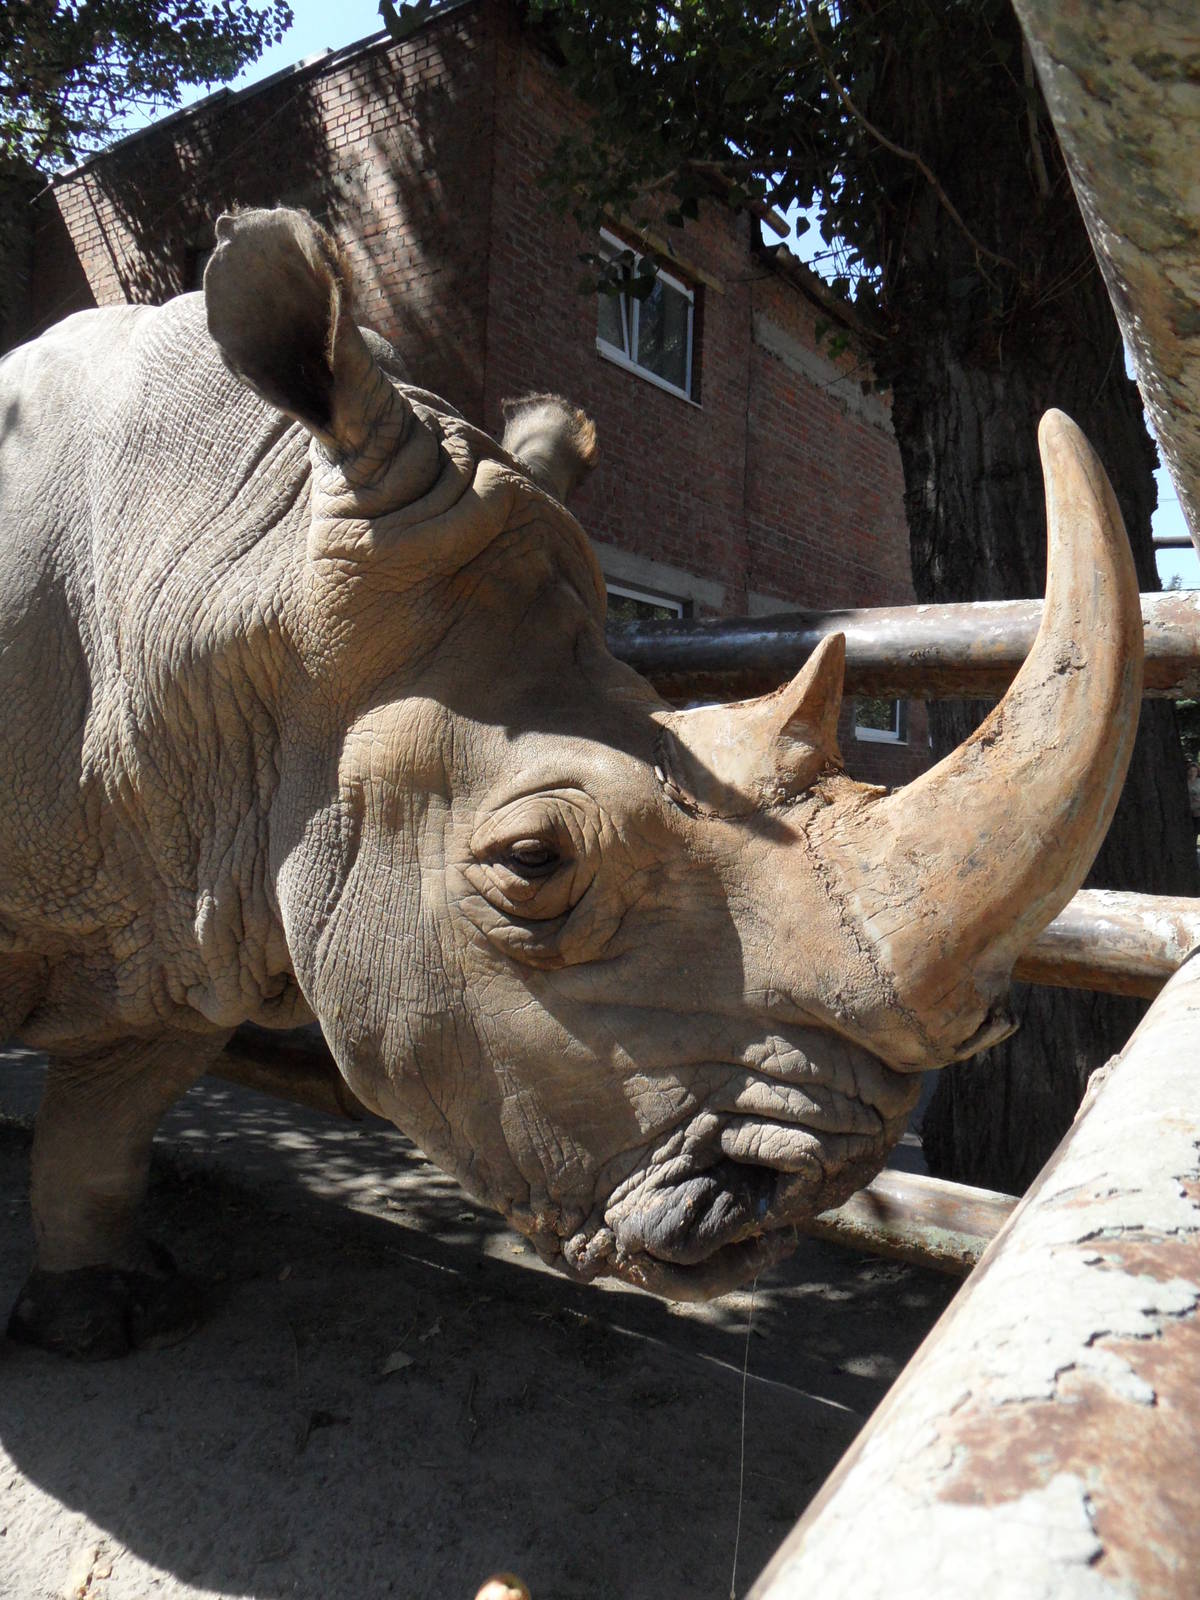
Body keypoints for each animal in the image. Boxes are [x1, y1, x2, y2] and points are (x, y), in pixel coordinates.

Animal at [0, 208, 1142, 1357]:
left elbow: (112, 1110)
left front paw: (102, 1312)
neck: (231, 577)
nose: (819, 1183)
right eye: (532, 861)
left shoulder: (189, 896)